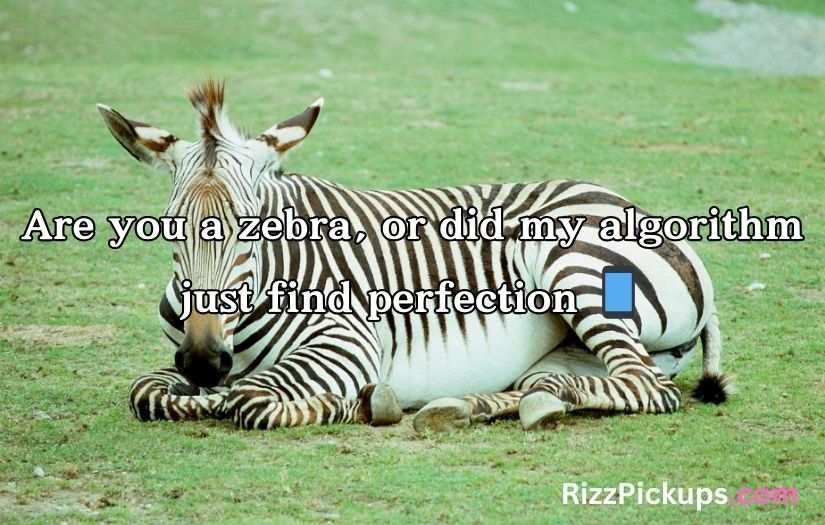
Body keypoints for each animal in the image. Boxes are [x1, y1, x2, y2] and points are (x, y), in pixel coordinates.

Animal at [97, 80, 732, 432]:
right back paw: (472, 406)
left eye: (254, 232)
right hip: (562, 352)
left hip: (572, 265)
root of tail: (638, 206)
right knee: (547, 386)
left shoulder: (349, 341)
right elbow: (147, 392)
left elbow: (251, 399)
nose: (204, 363)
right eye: (169, 231)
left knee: (647, 387)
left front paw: (355, 402)